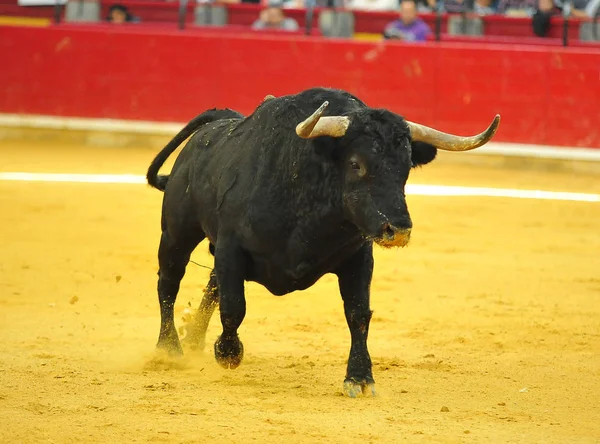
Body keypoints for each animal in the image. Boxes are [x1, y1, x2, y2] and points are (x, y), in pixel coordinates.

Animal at [146, 86, 502, 398]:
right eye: (356, 164)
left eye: (405, 169)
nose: (398, 229)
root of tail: (217, 124)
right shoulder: (231, 247)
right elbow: (235, 306)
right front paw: (227, 353)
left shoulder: (359, 258)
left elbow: (358, 314)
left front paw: (360, 378)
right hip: (176, 233)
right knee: (169, 283)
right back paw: (169, 349)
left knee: (211, 282)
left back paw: (193, 341)